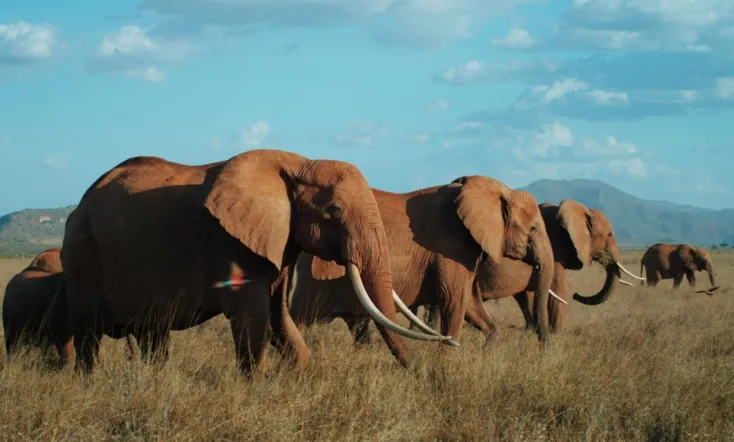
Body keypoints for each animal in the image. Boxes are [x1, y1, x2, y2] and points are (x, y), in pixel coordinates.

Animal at [41, 149, 451, 375]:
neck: (298, 163)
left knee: (151, 333)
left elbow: (278, 313)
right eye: (334, 210)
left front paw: (296, 373)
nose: (423, 374)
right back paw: (89, 381)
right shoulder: (231, 243)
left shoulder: (280, 245)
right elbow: (252, 315)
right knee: (89, 333)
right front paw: (258, 383)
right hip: (81, 252)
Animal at [288, 175, 556, 348]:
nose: (543, 346)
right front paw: (446, 361)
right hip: (315, 278)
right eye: (533, 228)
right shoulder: (450, 247)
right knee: (300, 318)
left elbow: (471, 305)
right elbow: (454, 303)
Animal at [415, 199, 645, 334]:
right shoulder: (556, 249)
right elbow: (557, 291)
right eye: (609, 235)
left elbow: (529, 295)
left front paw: (532, 331)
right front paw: (555, 335)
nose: (578, 295)